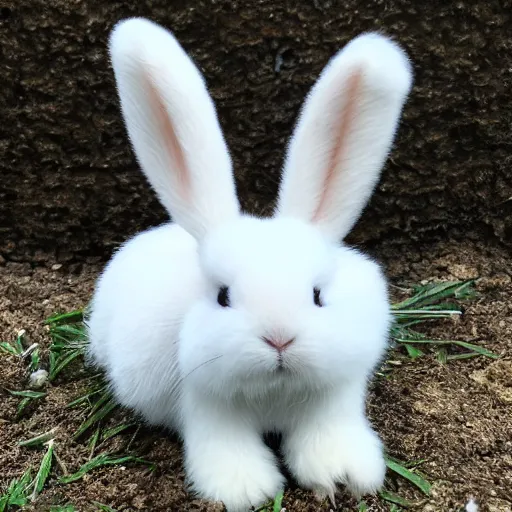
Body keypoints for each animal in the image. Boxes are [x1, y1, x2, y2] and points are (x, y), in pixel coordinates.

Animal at [87, 16, 412, 512]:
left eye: (318, 295)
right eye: (223, 296)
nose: (279, 339)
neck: (274, 391)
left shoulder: (332, 400)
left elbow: (327, 436)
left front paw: (339, 478)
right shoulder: (207, 409)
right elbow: (226, 449)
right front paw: (247, 490)